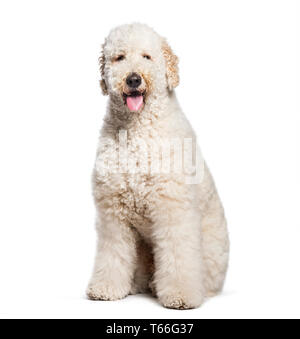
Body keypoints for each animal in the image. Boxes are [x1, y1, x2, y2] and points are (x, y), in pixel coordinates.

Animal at [86, 23, 230, 310]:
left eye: (146, 56)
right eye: (119, 57)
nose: (133, 79)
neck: (137, 131)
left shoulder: (173, 209)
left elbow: (178, 255)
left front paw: (181, 295)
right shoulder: (113, 214)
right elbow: (112, 253)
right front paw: (107, 288)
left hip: (210, 252)